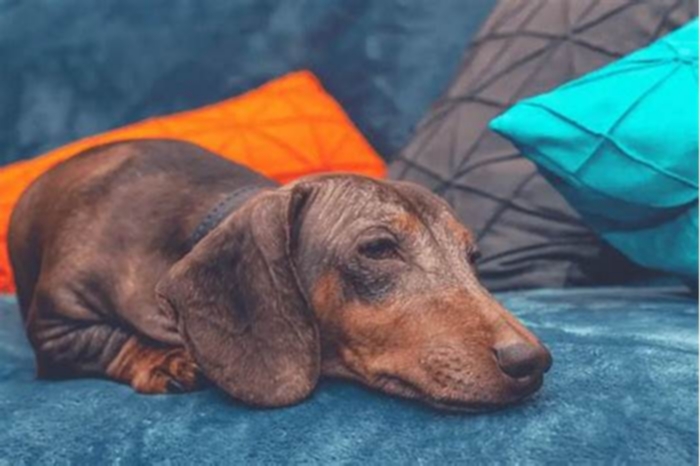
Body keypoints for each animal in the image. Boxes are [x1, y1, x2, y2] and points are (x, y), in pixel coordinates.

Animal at [8, 140, 548, 410]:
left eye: (472, 256)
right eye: (378, 248)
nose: (534, 362)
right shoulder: (56, 326)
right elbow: (108, 342)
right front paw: (165, 360)